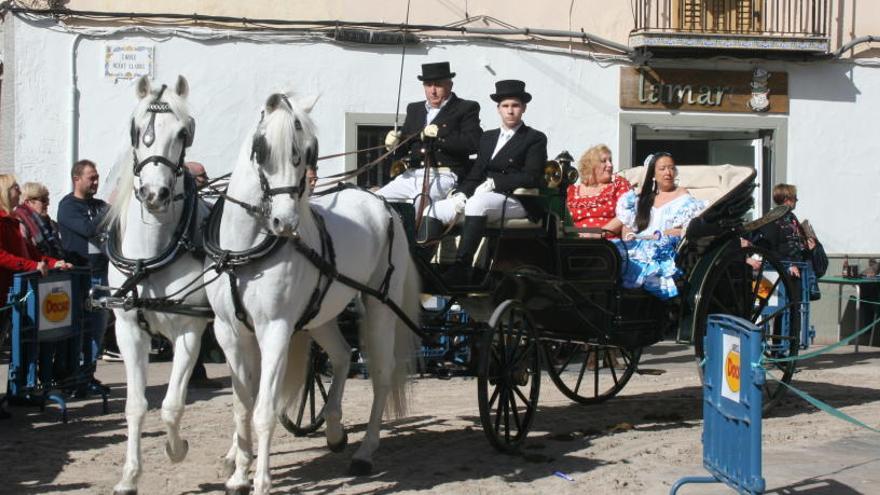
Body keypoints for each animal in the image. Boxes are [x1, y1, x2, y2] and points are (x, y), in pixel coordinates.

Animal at [103, 75, 211, 494]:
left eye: (184, 132)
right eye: (136, 130)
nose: (154, 193)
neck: (151, 257)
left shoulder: (191, 330)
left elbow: (171, 405)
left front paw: (176, 449)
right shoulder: (128, 329)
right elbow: (136, 405)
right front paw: (129, 476)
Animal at [208, 94, 422, 495]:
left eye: (309, 153)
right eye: (261, 149)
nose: (286, 223)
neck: (246, 251)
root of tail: (381, 202)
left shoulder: (275, 329)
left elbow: (263, 409)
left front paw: (261, 481)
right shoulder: (229, 332)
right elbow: (241, 406)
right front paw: (238, 475)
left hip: (380, 306)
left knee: (381, 373)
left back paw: (365, 451)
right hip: (321, 314)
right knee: (340, 355)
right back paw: (335, 429)